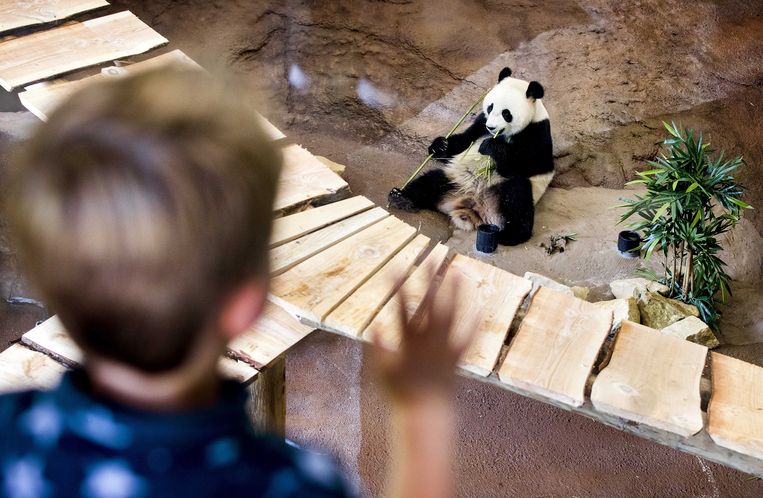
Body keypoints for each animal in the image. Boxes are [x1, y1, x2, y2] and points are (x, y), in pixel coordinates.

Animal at [390, 67, 552, 246]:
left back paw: (511, 234)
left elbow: (530, 164)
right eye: (490, 107)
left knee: (518, 192)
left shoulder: (538, 132)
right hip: (454, 181)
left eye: (506, 113)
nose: (491, 127)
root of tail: (473, 207)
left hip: (500, 197)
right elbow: (464, 140)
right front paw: (440, 146)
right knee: (430, 182)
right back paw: (401, 198)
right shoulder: (481, 123)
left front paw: (490, 147)